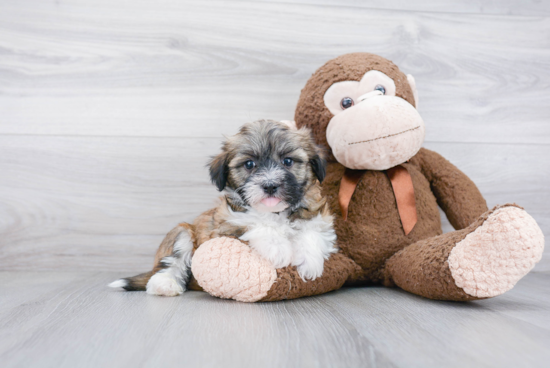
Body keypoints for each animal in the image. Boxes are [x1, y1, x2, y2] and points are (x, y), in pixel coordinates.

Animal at [109, 119, 338, 298]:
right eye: (249, 164)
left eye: (288, 161)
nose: (270, 185)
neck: (276, 212)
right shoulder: (225, 224)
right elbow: (255, 223)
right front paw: (278, 248)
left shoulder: (318, 214)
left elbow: (312, 230)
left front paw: (310, 262)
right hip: (182, 232)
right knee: (172, 261)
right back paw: (165, 284)